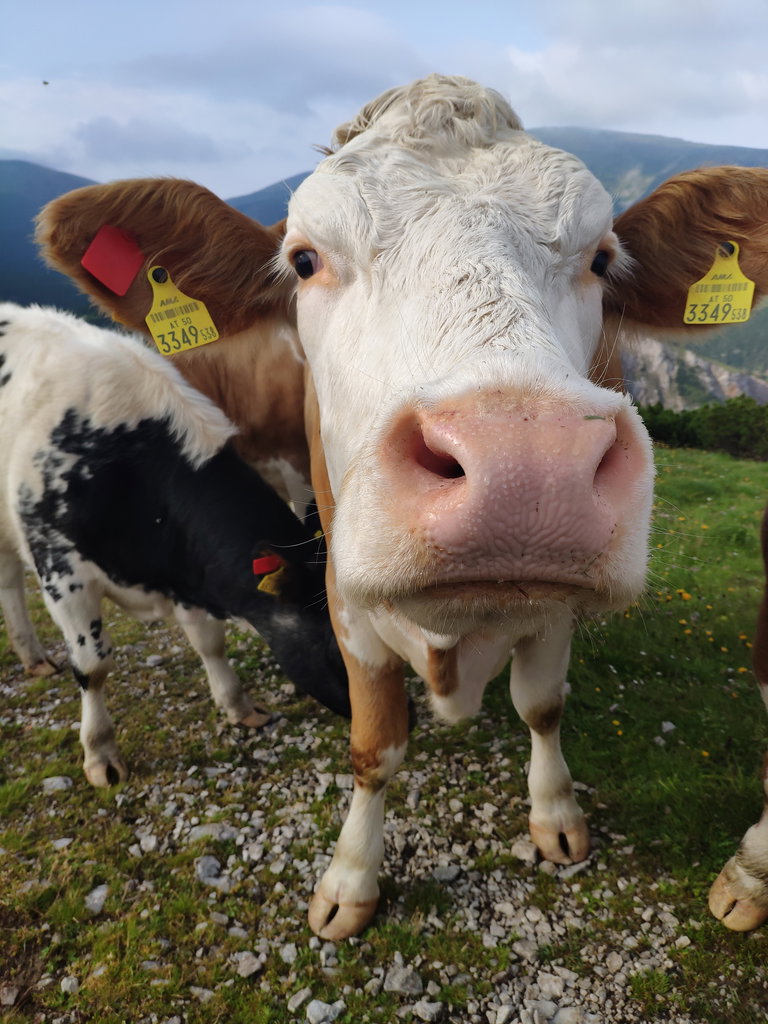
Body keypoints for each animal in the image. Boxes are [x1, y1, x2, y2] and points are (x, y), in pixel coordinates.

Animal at [0, 302, 348, 787]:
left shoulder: (190, 565)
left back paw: (31, 655)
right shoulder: (61, 571)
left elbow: (209, 642)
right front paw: (100, 753)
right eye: (337, 651)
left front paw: (238, 705)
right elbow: (93, 666)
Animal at [36, 76, 768, 939]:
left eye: (601, 258)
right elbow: (374, 748)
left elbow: (542, 706)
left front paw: (556, 817)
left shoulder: (556, 604)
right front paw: (350, 882)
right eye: (305, 259)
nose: (524, 470)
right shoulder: (344, 597)